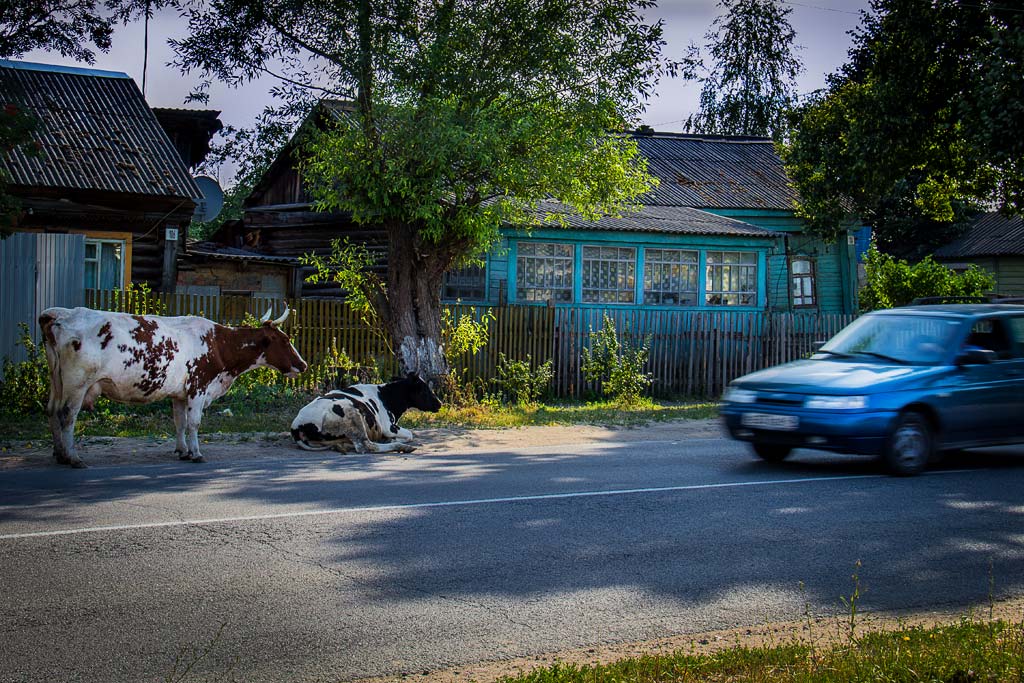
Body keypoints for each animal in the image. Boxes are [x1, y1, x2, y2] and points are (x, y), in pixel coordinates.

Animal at [37, 307, 307, 466]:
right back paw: (73, 457)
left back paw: (59, 453)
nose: (303, 364)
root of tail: (58, 314)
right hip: (77, 383)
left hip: (56, 380)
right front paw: (196, 453)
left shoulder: (180, 393)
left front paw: (183, 450)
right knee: (67, 415)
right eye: (285, 340)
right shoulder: (199, 387)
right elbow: (194, 423)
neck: (219, 344)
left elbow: (180, 422)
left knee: (51, 411)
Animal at [292, 374, 444, 454]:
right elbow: (410, 434)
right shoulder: (389, 427)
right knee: (366, 446)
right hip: (352, 416)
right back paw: (401, 447)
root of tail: (297, 425)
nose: (440, 403)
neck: (387, 396)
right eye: (424, 389)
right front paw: (394, 440)